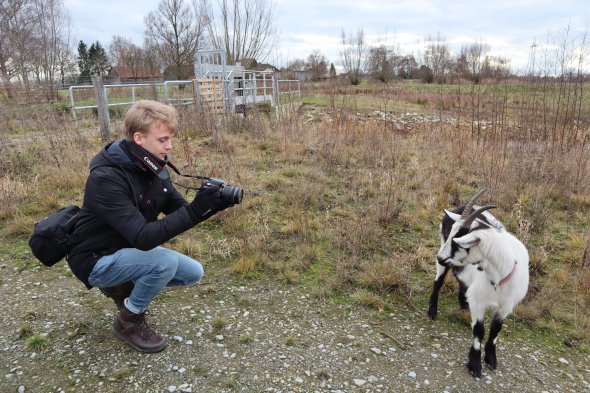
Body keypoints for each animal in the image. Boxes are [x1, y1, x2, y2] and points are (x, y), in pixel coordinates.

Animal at [430, 190, 532, 376]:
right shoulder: (479, 302)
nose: (440, 257)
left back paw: (464, 307)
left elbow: (495, 330)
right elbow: (479, 331)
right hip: (443, 259)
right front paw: (475, 365)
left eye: (459, 242)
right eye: (451, 234)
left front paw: (491, 359)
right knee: (438, 281)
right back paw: (432, 311)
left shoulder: (506, 306)